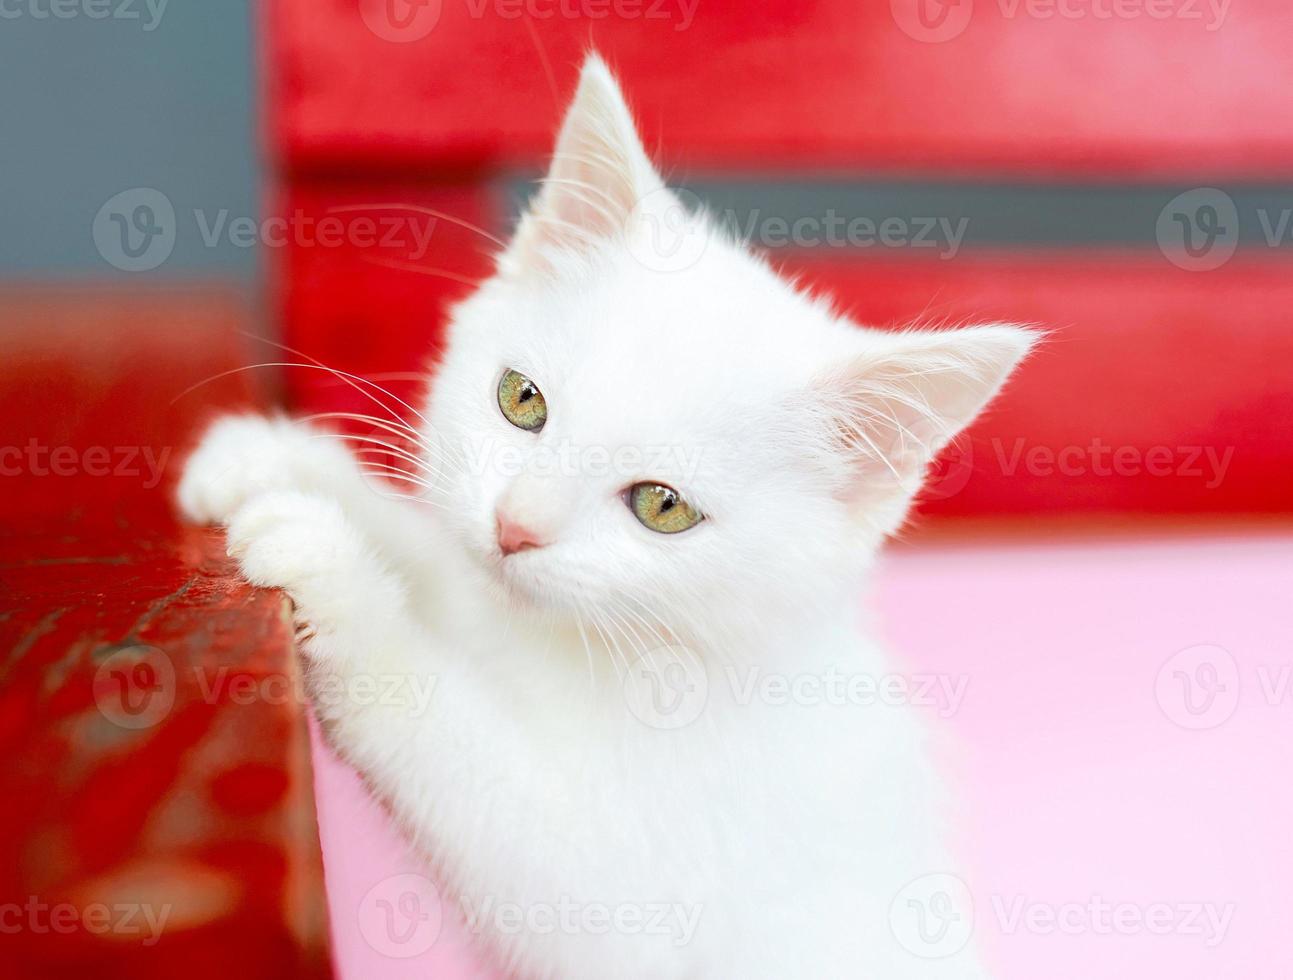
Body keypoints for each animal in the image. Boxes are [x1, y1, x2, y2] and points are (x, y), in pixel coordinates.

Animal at [179, 55, 1029, 980]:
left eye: (662, 506)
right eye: (522, 400)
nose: (515, 526)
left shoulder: (638, 910)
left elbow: (488, 790)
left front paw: (336, 579)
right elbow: (439, 558)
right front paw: (274, 462)